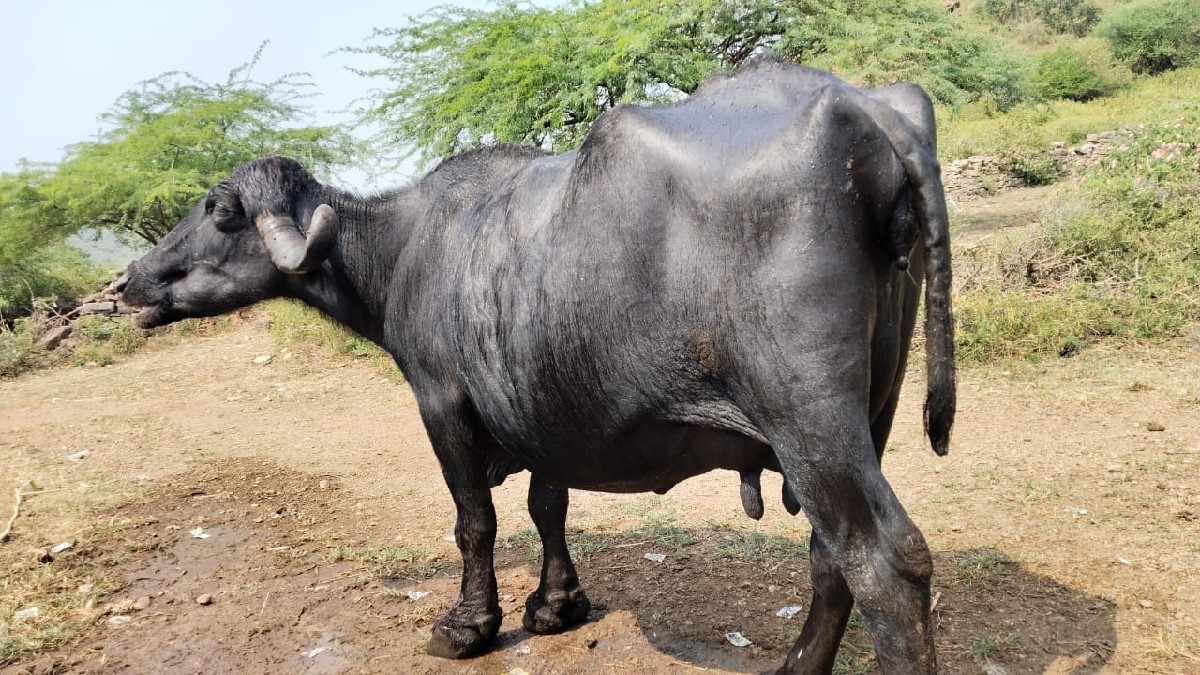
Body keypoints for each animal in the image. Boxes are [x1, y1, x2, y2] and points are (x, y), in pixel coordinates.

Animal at [118, 53, 955, 674]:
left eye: (220, 210)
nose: (130, 279)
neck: (406, 247)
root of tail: (870, 109)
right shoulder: (546, 406)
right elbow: (546, 504)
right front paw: (556, 603)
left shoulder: (442, 403)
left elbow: (475, 521)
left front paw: (468, 623)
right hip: (873, 411)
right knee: (830, 558)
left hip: (809, 419)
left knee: (887, 562)